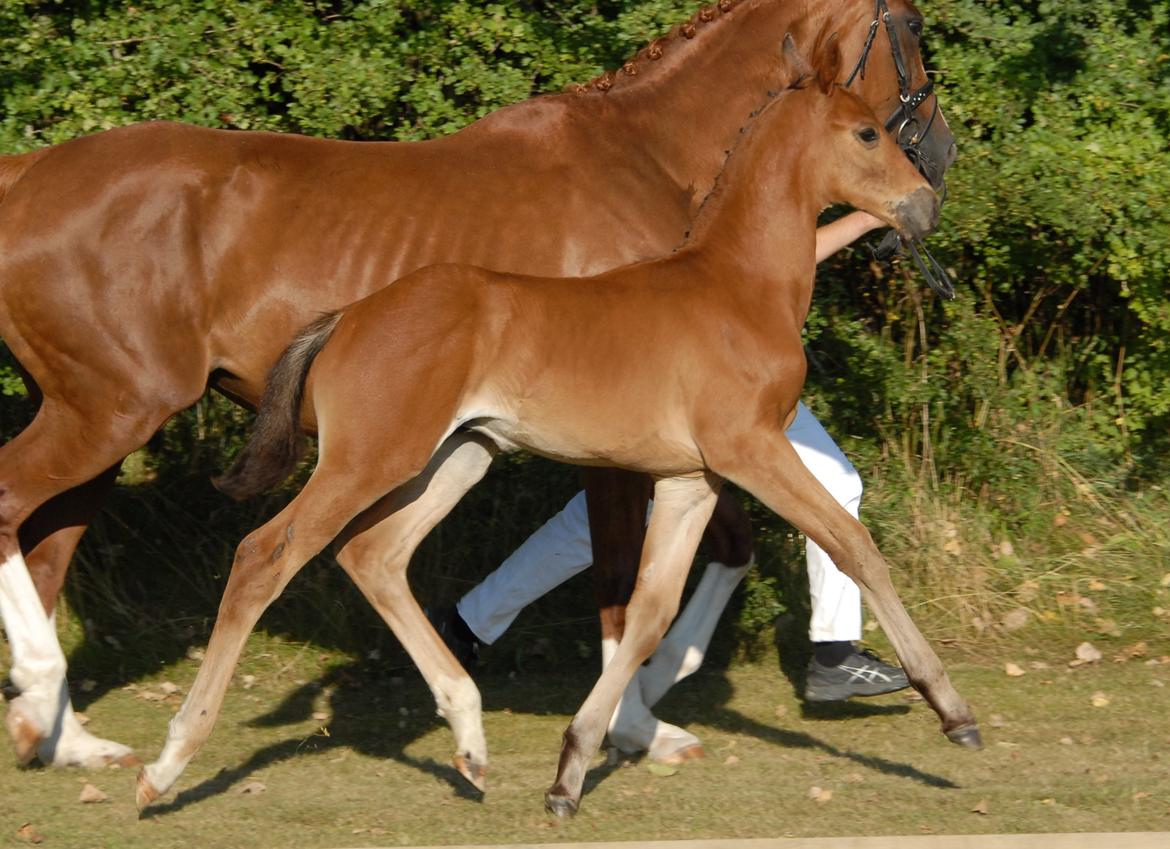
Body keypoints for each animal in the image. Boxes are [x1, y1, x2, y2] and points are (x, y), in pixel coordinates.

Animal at [136, 38, 978, 818]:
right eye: (866, 132)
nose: (925, 204)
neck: (735, 286)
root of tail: (347, 315)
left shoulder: (690, 478)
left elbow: (649, 613)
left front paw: (574, 767)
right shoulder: (750, 450)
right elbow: (853, 543)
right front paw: (952, 710)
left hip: (456, 456)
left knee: (372, 554)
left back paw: (470, 740)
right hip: (367, 459)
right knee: (264, 555)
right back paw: (166, 763)